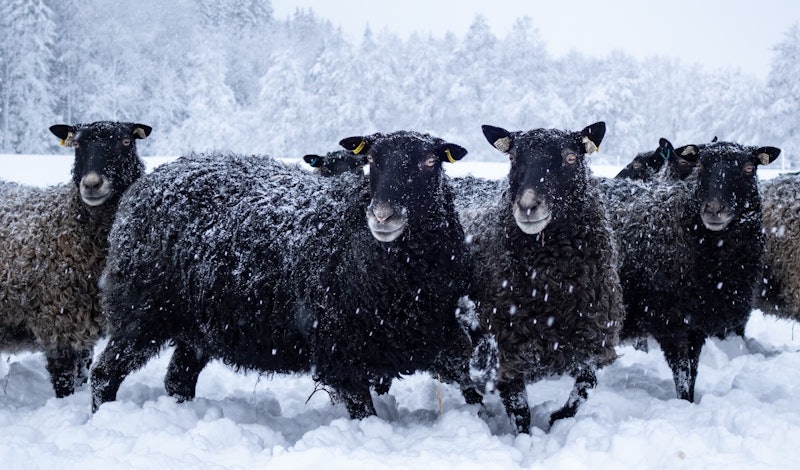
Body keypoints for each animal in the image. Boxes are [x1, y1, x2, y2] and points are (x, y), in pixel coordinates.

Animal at [0, 121, 151, 398]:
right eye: (78, 144)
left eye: (126, 142)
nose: (91, 184)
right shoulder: (58, 321)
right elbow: (64, 379)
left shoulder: (84, 324)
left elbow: (83, 372)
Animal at [91, 131, 484, 418]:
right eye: (373, 161)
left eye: (431, 162)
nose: (383, 216)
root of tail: (145, 184)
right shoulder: (339, 349)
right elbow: (365, 413)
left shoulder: (436, 330)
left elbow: (471, 385)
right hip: (141, 311)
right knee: (104, 374)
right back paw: (102, 417)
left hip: (198, 326)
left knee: (178, 380)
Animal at [462, 122, 625, 433]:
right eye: (512, 157)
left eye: (571, 157)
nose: (527, 206)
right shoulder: (506, 346)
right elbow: (519, 411)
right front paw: (527, 440)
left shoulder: (592, 335)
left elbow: (586, 385)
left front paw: (558, 418)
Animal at [615, 140, 780, 402]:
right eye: (700, 165)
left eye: (748, 168)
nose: (714, 209)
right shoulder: (670, 322)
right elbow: (682, 373)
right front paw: (683, 403)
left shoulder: (696, 323)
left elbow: (692, 373)